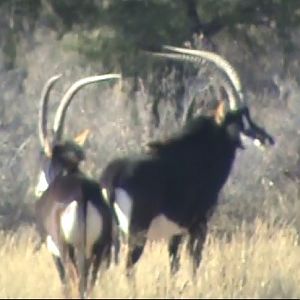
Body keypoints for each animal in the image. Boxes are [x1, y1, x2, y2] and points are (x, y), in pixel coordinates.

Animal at [35, 73, 123, 298]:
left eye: (43, 158)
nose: (38, 189)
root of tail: (82, 195)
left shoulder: (54, 252)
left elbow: (64, 284)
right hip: (98, 250)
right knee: (89, 283)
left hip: (69, 249)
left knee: (77, 281)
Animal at [98, 45, 274, 280]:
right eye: (239, 121)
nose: (267, 139)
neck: (198, 154)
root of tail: (112, 176)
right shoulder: (198, 224)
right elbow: (194, 260)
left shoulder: (176, 231)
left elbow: (174, 264)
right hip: (136, 233)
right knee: (128, 268)